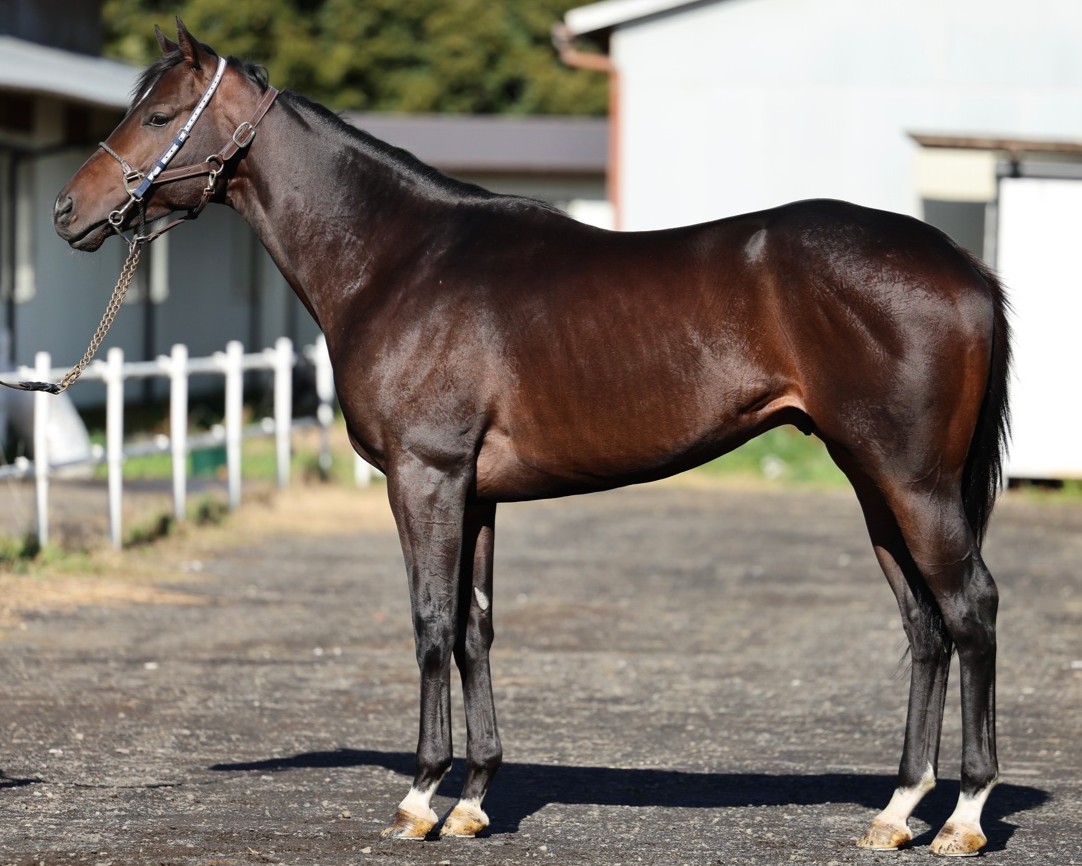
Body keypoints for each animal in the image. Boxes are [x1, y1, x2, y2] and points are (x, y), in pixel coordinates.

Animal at [52, 21, 1009, 856]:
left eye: (161, 115)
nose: (68, 211)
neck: (399, 260)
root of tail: (964, 266)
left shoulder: (426, 477)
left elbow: (431, 622)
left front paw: (418, 798)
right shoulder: (475, 494)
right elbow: (476, 628)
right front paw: (474, 799)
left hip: (912, 483)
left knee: (970, 610)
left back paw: (963, 816)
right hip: (873, 482)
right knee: (925, 627)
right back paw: (898, 811)